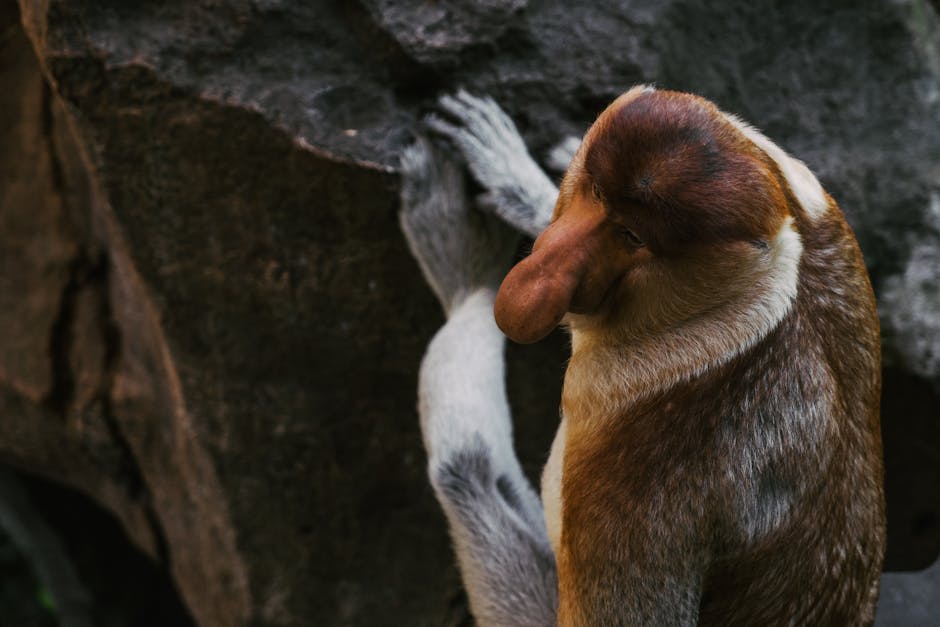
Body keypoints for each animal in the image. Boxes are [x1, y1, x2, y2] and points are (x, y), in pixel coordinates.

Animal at [401, 86, 886, 625]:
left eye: (633, 237)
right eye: (594, 193)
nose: (535, 285)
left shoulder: (653, 476)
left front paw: (467, 270)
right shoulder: (817, 203)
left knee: (464, 468)